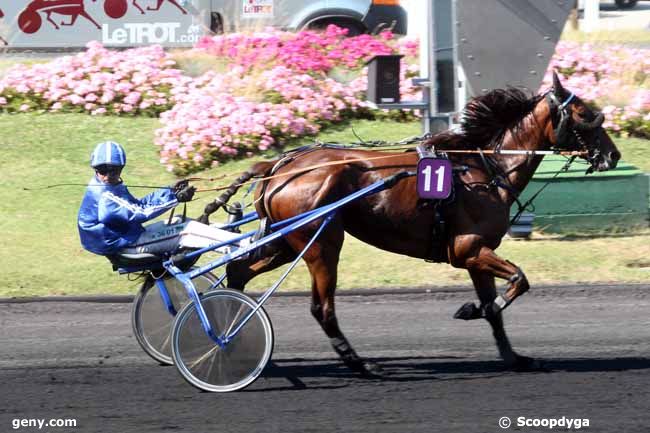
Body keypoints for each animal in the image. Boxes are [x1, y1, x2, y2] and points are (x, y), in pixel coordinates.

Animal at [196, 71, 616, 374]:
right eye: (586, 115)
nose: (612, 155)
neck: (485, 169)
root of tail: (280, 165)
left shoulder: (476, 255)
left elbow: (496, 308)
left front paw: (514, 357)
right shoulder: (469, 249)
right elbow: (518, 281)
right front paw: (470, 310)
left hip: (286, 241)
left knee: (238, 271)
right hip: (321, 244)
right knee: (322, 308)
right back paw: (358, 363)